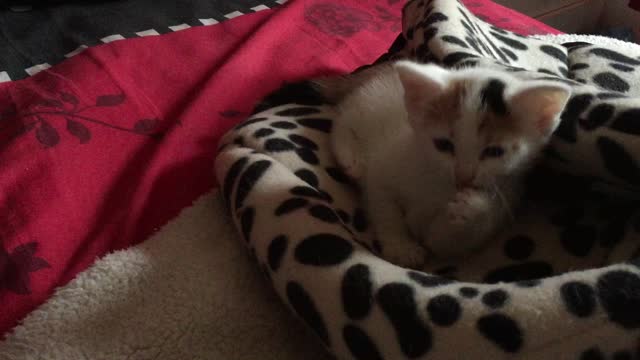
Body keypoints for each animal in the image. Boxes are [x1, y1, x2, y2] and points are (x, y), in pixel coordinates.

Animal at [320, 61, 568, 268]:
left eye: (495, 152)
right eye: (443, 145)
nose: (464, 176)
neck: (440, 182)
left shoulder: (509, 195)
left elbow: (442, 242)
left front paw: (471, 208)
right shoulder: (383, 170)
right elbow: (385, 209)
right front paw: (402, 247)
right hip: (365, 107)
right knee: (341, 119)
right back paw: (351, 158)